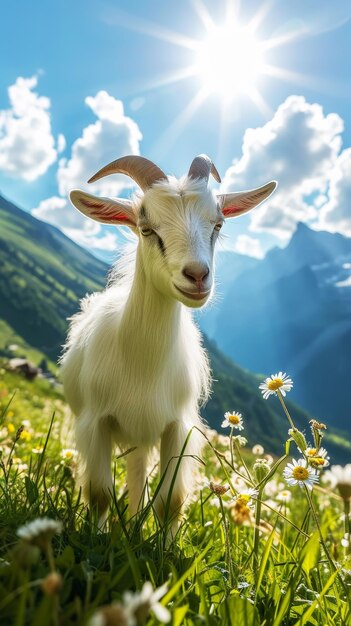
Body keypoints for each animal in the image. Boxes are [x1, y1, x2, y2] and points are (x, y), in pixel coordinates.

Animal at [59, 154, 276, 532]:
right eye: (147, 228)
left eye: (218, 224)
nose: (197, 276)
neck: (142, 364)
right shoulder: (94, 422)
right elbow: (99, 493)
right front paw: (96, 538)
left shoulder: (177, 427)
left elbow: (170, 501)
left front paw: (163, 546)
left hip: (143, 435)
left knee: (137, 477)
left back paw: (132, 523)